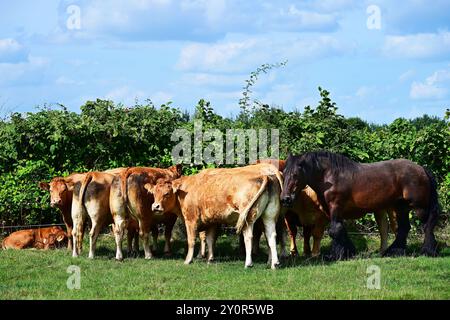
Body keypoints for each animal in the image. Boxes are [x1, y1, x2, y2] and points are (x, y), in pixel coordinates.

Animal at [146, 164, 284, 268]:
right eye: (154, 193)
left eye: (167, 193)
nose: (155, 206)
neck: (186, 190)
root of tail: (265, 174)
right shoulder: (211, 221)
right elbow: (210, 239)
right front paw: (210, 259)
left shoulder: (191, 219)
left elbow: (191, 240)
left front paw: (188, 260)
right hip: (269, 215)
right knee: (271, 236)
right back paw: (274, 263)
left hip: (248, 217)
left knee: (249, 237)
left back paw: (248, 263)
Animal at [282, 151, 440, 260]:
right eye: (283, 174)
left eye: (295, 174)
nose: (285, 199)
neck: (331, 176)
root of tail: (422, 169)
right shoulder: (332, 210)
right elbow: (339, 229)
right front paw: (348, 252)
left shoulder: (335, 206)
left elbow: (334, 230)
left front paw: (336, 255)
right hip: (401, 207)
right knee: (404, 228)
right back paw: (395, 251)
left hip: (419, 207)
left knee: (427, 225)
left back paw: (428, 250)